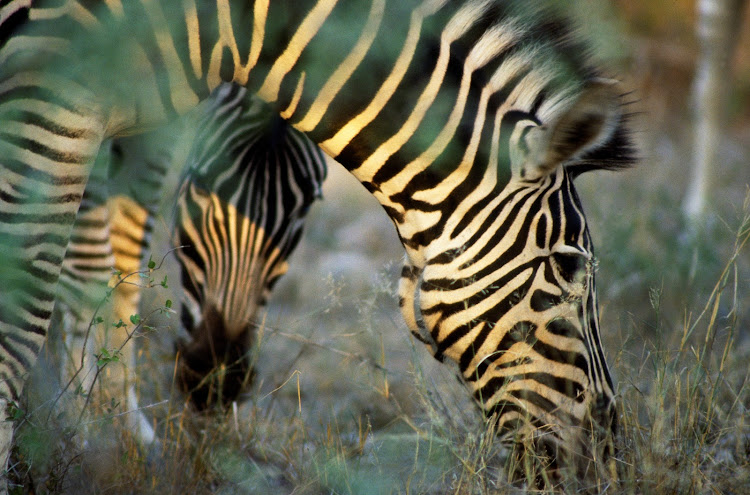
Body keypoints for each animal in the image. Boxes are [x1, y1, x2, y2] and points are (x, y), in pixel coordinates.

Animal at [0, 0, 636, 488]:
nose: (607, 455)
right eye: (569, 267)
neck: (224, 26)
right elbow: (25, 317)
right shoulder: (49, 97)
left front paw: (108, 429)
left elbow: (114, 265)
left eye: (305, 208)